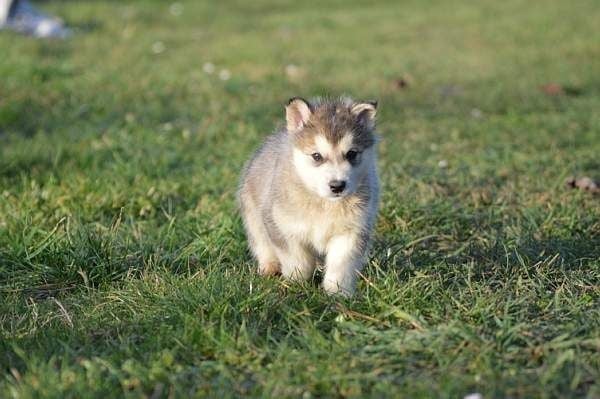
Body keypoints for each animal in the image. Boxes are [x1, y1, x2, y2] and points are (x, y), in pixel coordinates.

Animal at [238, 97, 380, 296]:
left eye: (351, 154)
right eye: (316, 156)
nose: (337, 185)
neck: (324, 204)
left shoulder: (352, 231)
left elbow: (340, 265)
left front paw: (337, 293)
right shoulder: (282, 226)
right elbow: (299, 261)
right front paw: (296, 284)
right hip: (253, 216)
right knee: (261, 243)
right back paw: (269, 267)